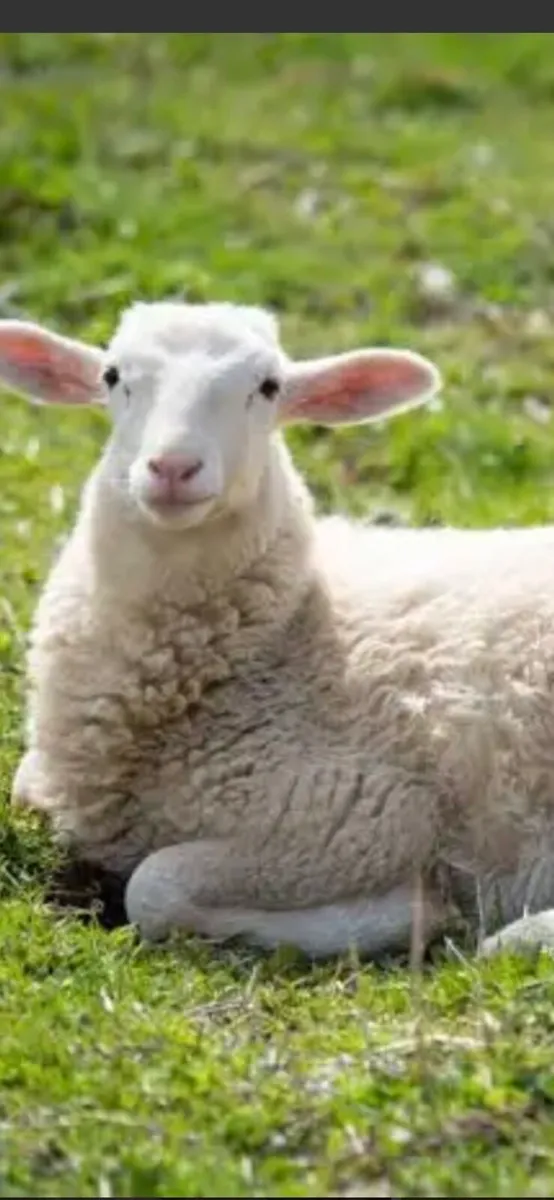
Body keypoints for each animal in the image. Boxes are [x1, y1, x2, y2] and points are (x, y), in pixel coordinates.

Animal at [3, 299, 554, 963]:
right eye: (113, 377)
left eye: (267, 387)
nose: (172, 467)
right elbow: (27, 791)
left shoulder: (365, 812)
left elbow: (154, 886)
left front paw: (403, 913)